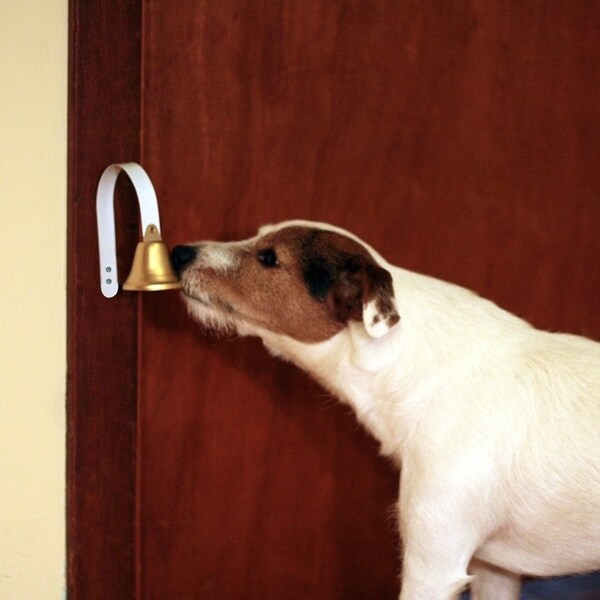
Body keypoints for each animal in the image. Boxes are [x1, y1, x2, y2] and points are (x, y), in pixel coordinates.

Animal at [171, 220, 596, 600]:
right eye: (257, 237)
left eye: (268, 258)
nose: (178, 253)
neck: (419, 365)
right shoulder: (494, 572)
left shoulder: (433, 567)